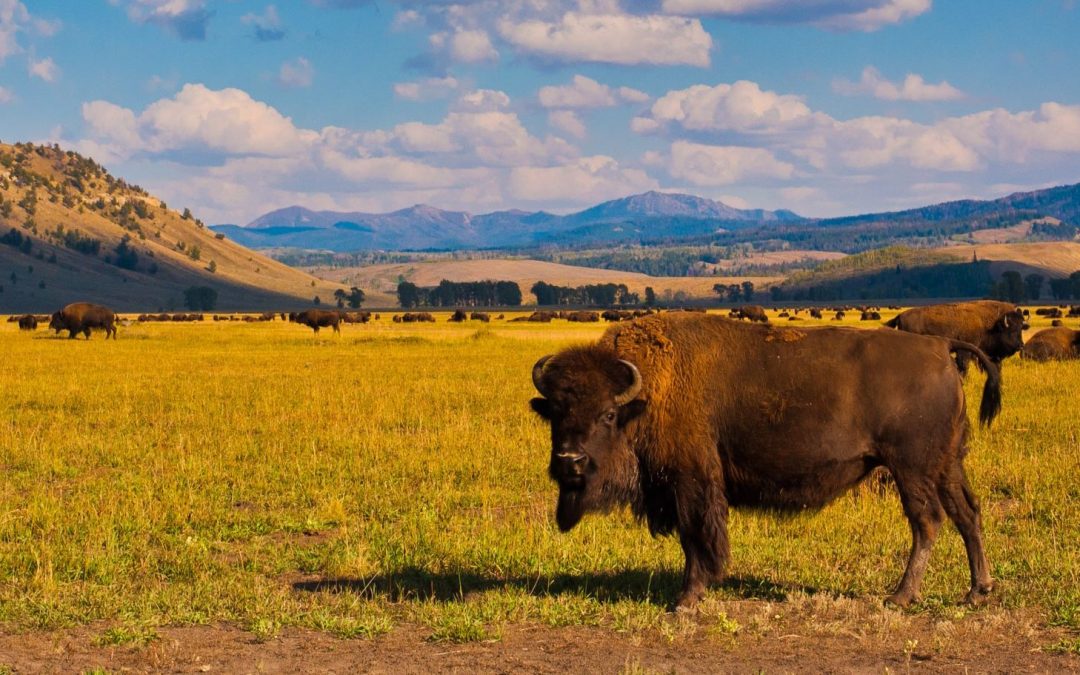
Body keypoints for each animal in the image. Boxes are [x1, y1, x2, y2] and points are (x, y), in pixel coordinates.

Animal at [530, 313, 1000, 610]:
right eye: (555, 412)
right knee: (967, 514)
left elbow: (696, 535)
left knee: (928, 521)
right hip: (945, 465)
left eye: (607, 414)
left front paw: (687, 598)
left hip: (911, 468)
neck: (645, 395)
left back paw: (901, 596)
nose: (570, 460)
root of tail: (939, 346)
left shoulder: (691, 480)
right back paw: (976, 592)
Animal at [885, 300, 1023, 373]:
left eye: (1021, 327)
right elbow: (963, 365)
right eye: (1011, 330)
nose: (1020, 345)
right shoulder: (966, 350)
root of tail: (901, 315)